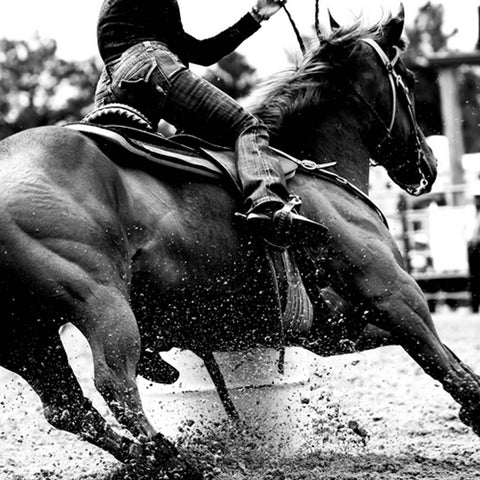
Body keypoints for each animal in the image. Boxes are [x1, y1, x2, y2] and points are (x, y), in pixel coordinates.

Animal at [0, 5, 480, 478]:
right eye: (410, 80)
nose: (428, 166)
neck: (311, 170)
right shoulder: (393, 291)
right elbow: (446, 366)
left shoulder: (336, 324)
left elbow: (449, 361)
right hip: (101, 304)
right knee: (114, 385)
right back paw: (173, 460)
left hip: (27, 336)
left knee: (67, 407)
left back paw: (146, 460)